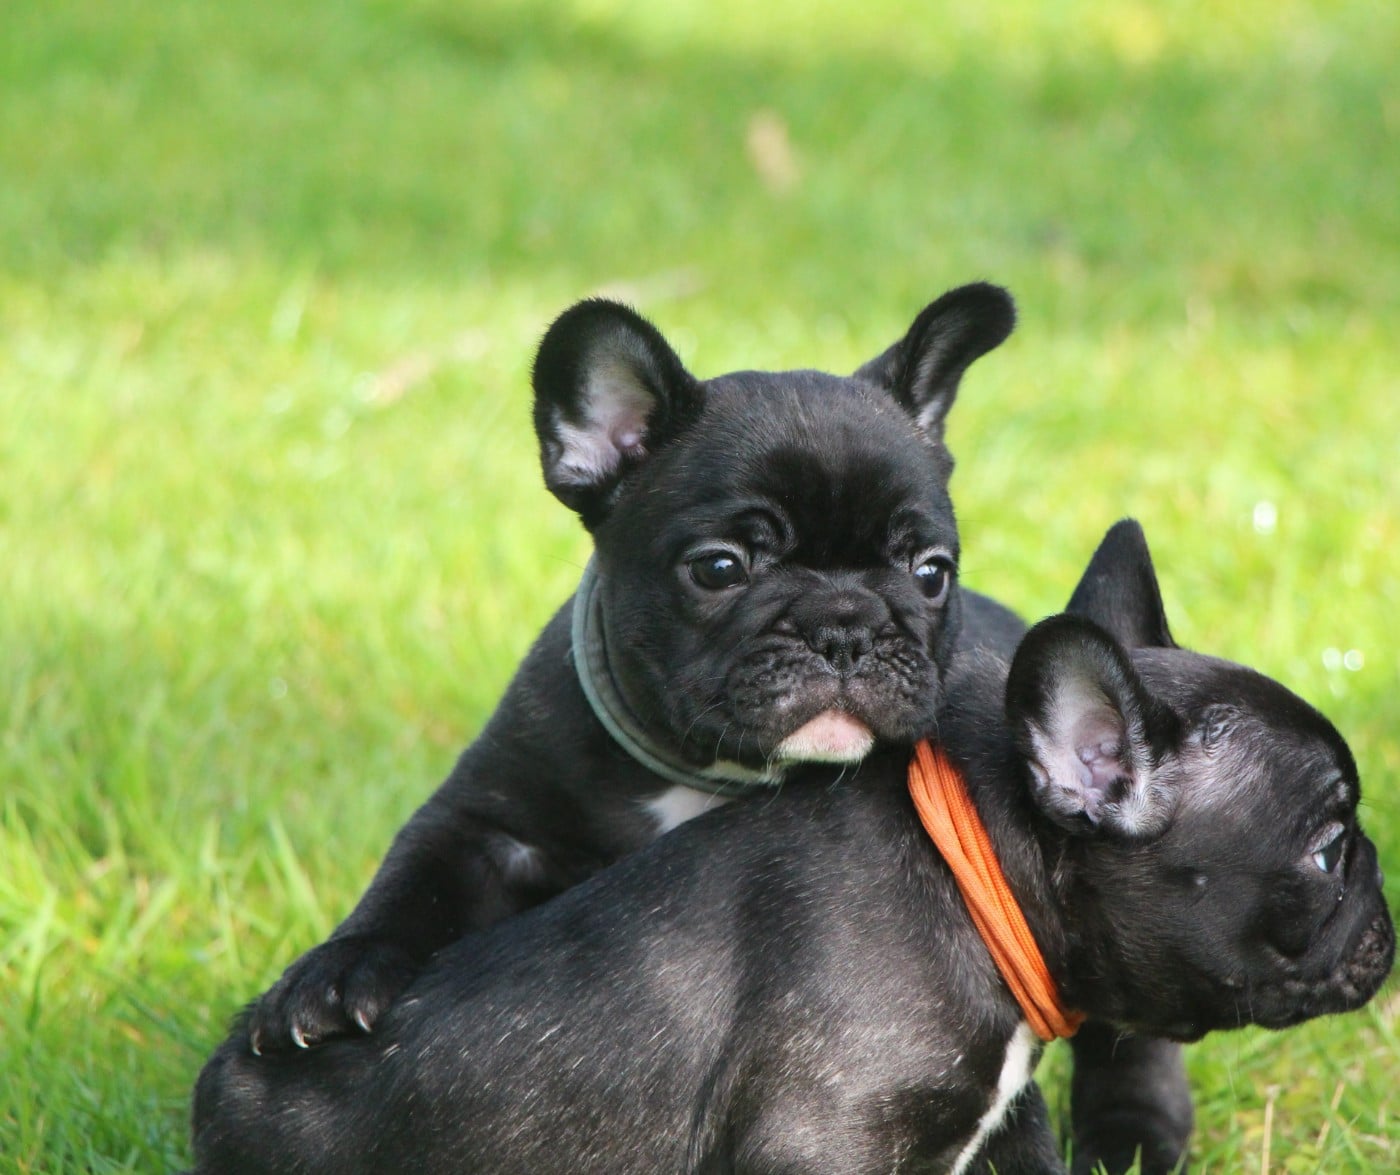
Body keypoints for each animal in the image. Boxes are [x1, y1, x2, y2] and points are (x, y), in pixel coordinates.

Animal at [227, 287, 1190, 1172]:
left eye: (930, 572)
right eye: (720, 567)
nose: (844, 624)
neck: (713, 773)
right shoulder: (491, 820)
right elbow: (413, 880)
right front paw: (332, 975)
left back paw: (1134, 1130)